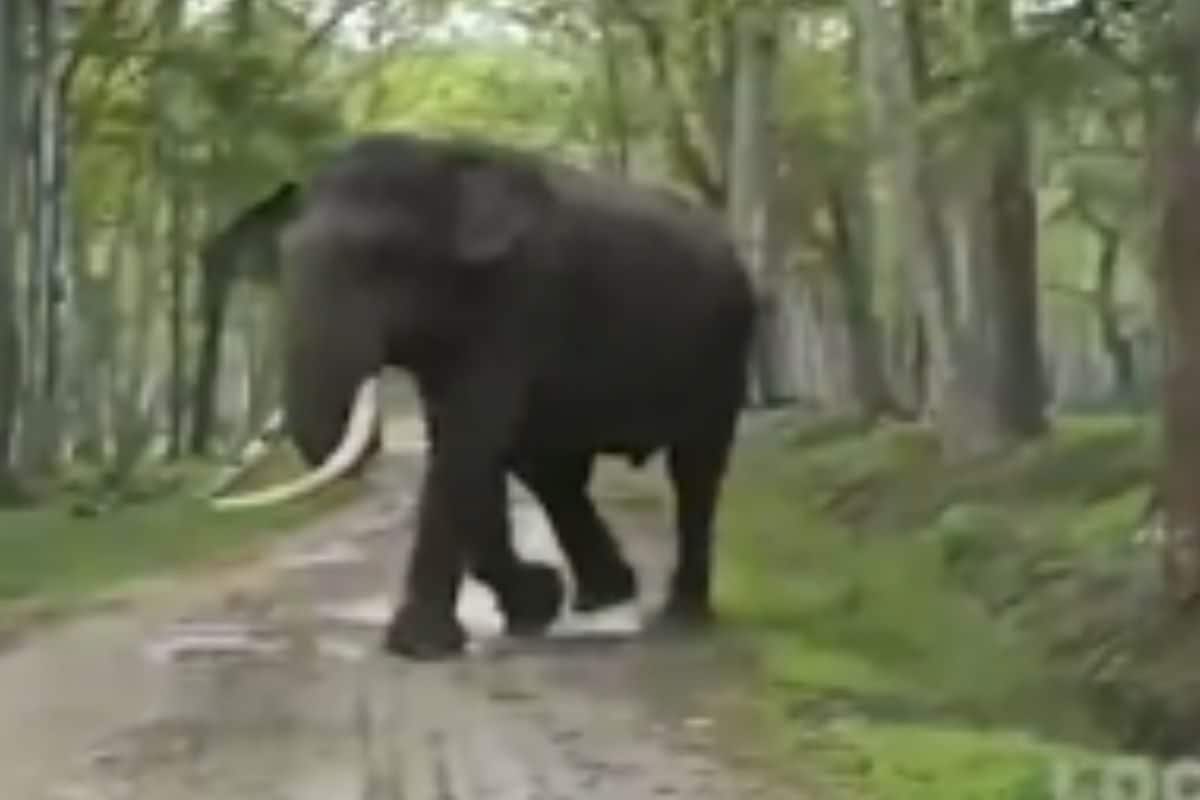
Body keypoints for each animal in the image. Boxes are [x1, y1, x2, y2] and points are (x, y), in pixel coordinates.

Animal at [215, 131, 756, 660]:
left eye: (383, 261)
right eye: (282, 263)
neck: (446, 160)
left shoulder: (518, 302)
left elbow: (465, 442)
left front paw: (419, 646)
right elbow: (466, 447)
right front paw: (533, 606)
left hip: (723, 349)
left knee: (695, 469)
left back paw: (679, 620)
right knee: (550, 471)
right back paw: (601, 596)